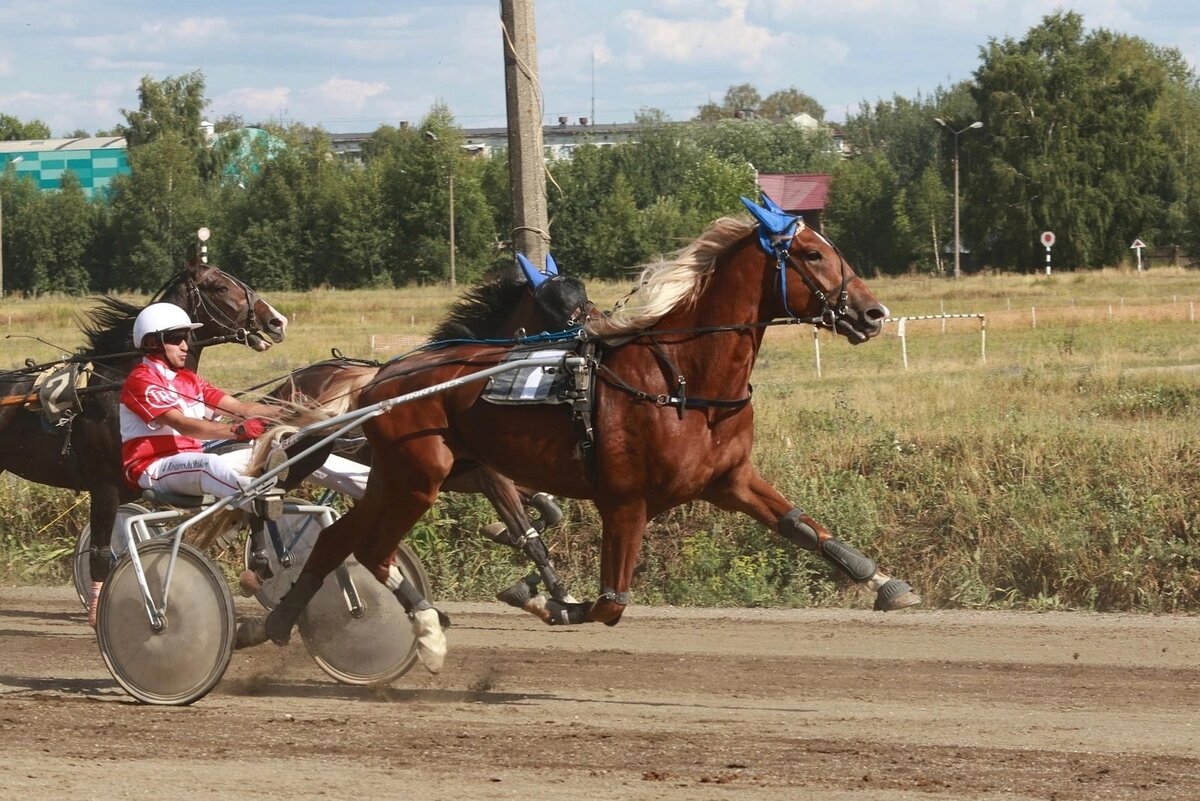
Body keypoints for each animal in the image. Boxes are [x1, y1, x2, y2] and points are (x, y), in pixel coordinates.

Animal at [253, 214, 921, 657]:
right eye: (811, 255)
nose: (873, 314)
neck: (682, 380)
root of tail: (381, 379)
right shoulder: (622, 501)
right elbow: (606, 601)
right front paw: (543, 598)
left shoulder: (729, 479)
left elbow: (804, 527)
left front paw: (885, 584)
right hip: (418, 476)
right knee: (370, 549)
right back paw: (424, 632)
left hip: (395, 477)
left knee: (336, 539)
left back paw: (280, 623)